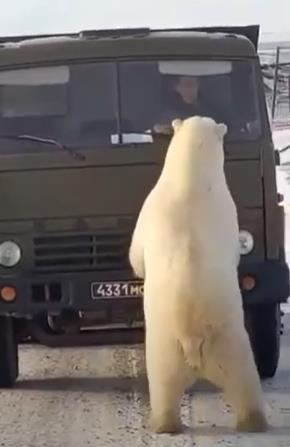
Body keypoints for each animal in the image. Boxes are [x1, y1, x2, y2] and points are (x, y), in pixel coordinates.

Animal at [129, 115, 268, 434]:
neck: (190, 181)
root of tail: (194, 343)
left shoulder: (150, 208)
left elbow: (136, 254)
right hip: (215, 347)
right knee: (239, 380)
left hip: (172, 344)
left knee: (167, 385)